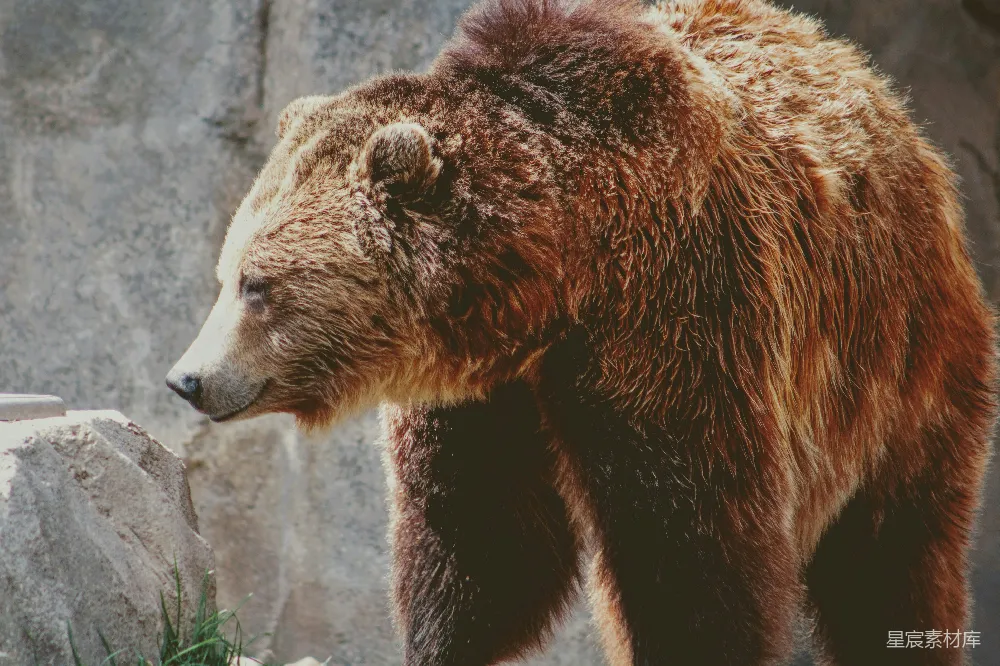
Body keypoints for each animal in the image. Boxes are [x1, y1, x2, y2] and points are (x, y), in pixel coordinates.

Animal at [166, 0, 997, 664]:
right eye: (226, 274)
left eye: (257, 285)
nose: (187, 378)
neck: (555, 279)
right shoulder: (484, 399)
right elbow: (479, 540)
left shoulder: (678, 317)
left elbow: (691, 544)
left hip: (899, 356)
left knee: (893, 552)